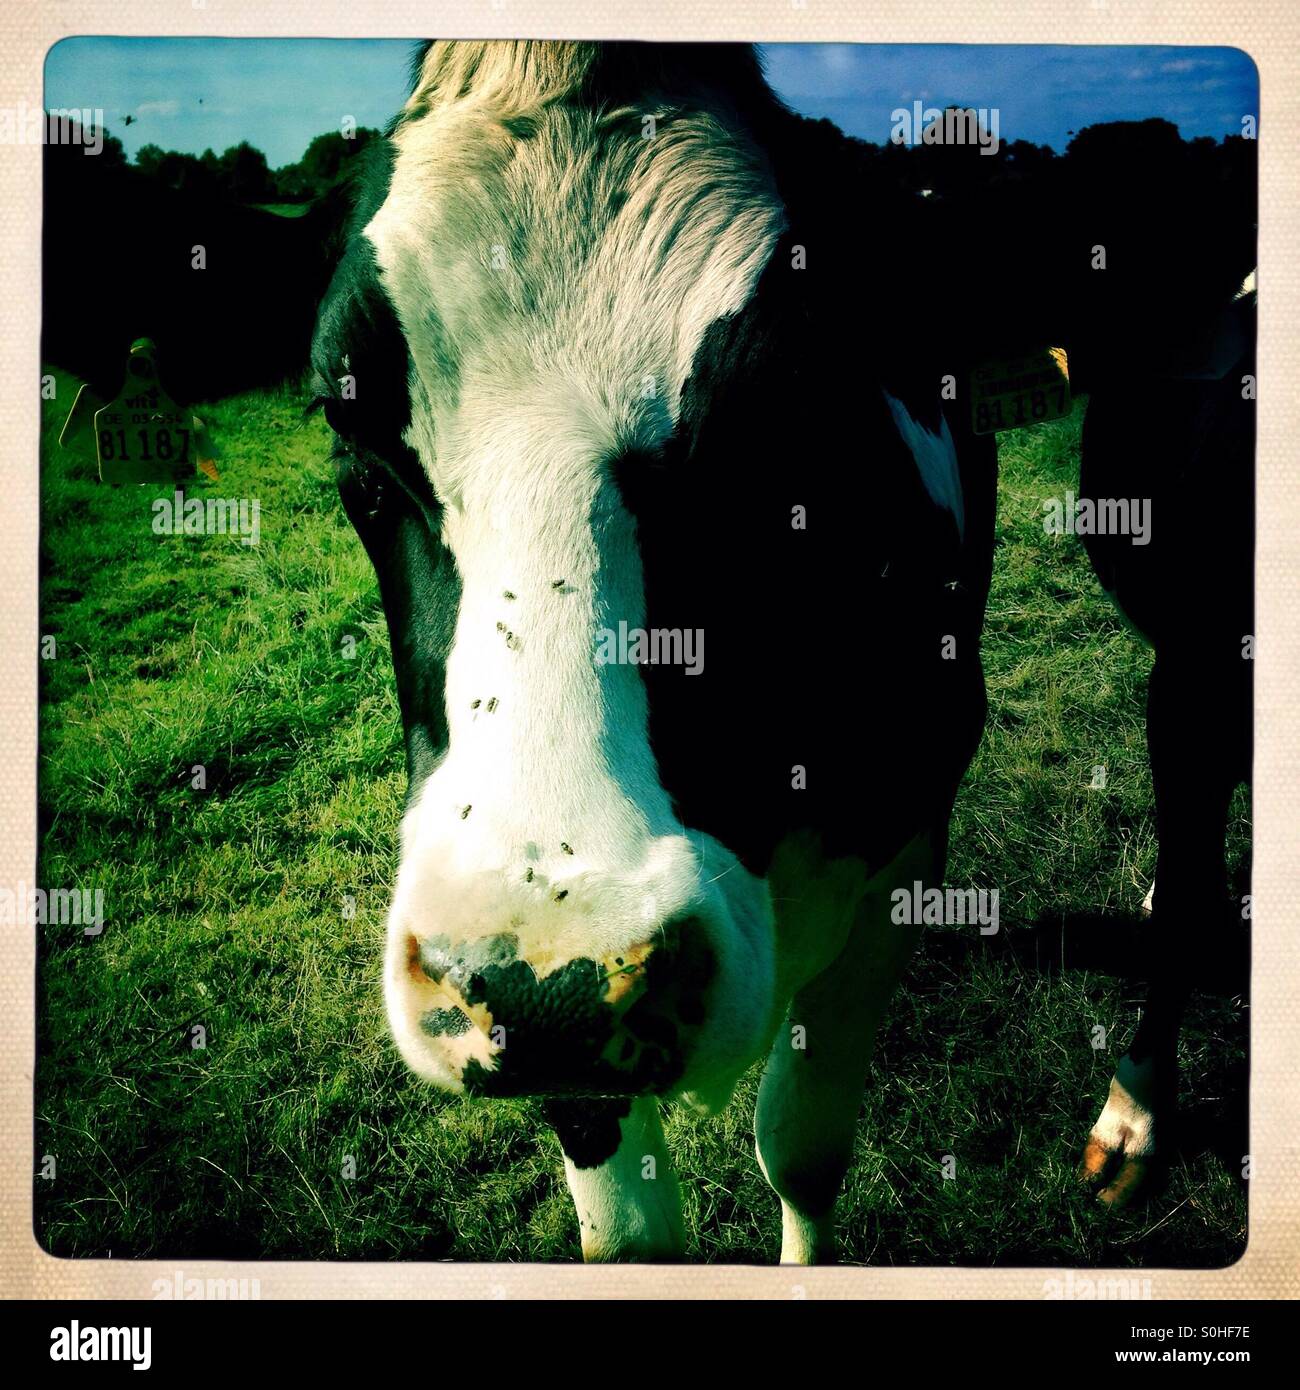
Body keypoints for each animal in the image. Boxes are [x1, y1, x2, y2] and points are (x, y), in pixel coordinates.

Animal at [310, 39, 1000, 1262]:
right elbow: (630, 1231)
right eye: (348, 429)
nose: (556, 982)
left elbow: (803, 1147)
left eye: (796, 413)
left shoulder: (903, 848)